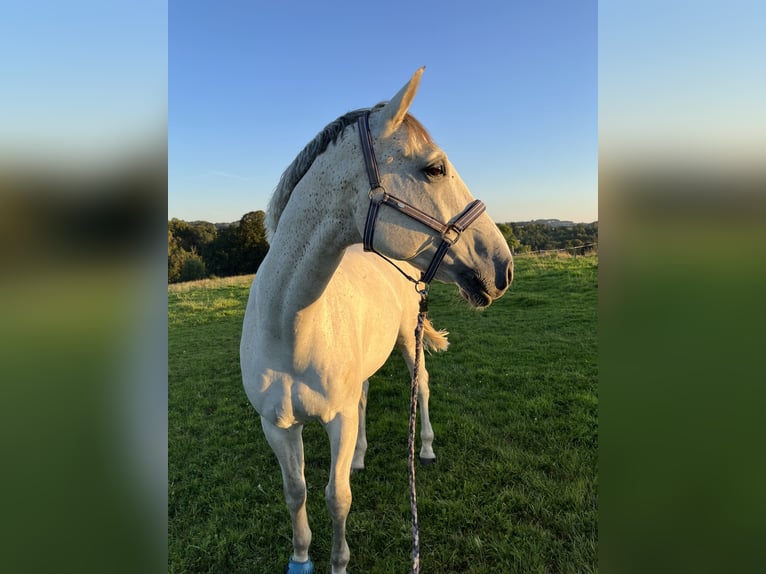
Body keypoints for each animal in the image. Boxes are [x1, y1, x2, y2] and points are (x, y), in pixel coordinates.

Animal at [240, 67, 513, 574]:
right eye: (434, 168)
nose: (503, 266)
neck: (289, 328)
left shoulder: (337, 419)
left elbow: (337, 498)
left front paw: (338, 562)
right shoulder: (278, 426)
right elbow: (296, 492)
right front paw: (301, 557)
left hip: (408, 343)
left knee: (421, 388)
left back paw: (425, 448)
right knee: (365, 396)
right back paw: (362, 457)